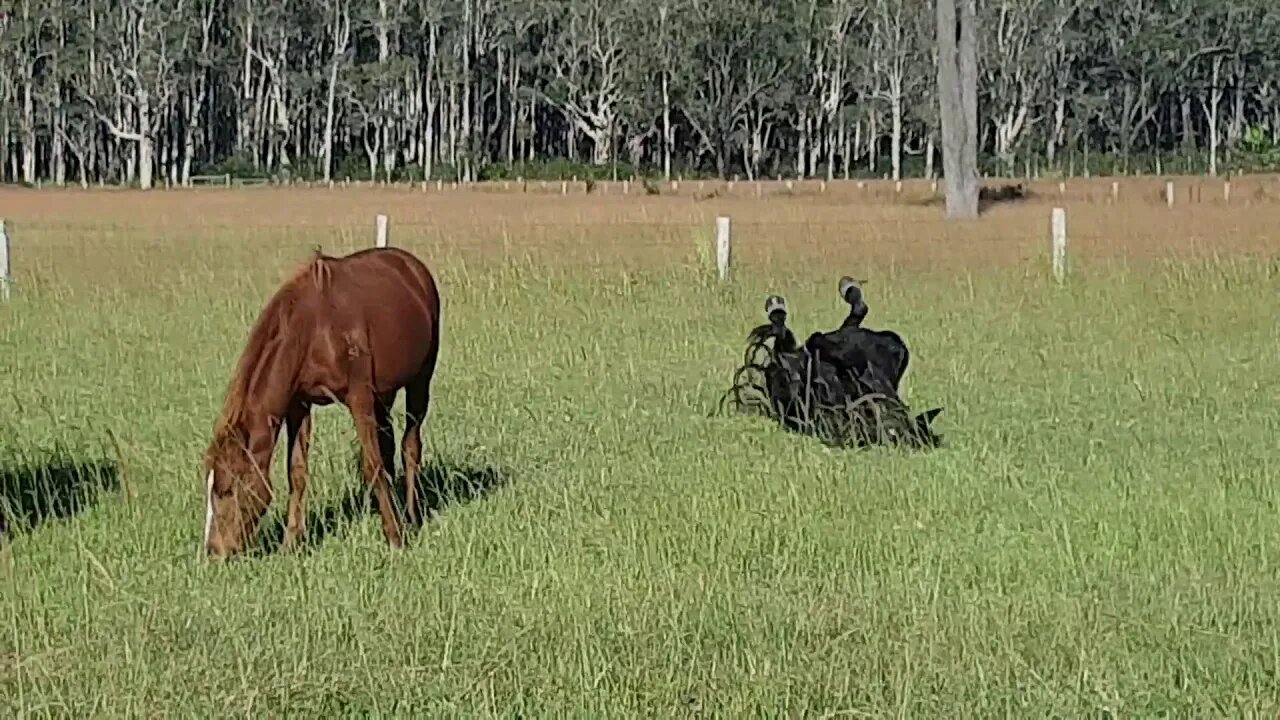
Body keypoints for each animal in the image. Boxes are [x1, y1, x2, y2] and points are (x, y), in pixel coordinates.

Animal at [198, 244, 440, 556]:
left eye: (226, 489)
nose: (214, 551)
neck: (316, 328)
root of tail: (413, 266)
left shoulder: (359, 397)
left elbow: (371, 465)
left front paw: (394, 537)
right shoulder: (299, 405)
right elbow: (297, 471)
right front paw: (291, 543)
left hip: (420, 380)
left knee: (410, 445)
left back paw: (410, 516)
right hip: (384, 395)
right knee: (388, 446)